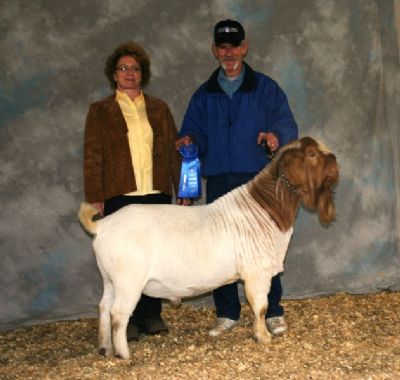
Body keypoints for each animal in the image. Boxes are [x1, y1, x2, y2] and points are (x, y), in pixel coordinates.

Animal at [79, 137, 340, 360]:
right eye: (312, 154)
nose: (335, 159)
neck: (267, 210)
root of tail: (102, 225)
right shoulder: (257, 273)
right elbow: (261, 306)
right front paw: (263, 336)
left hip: (109, 279)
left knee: (103, 308)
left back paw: (105, 348)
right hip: (128, 280)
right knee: (118, 315)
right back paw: (124, 354)